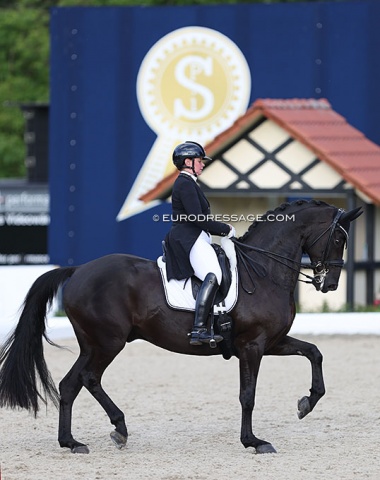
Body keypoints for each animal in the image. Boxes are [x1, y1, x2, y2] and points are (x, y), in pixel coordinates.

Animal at [0, 200, 362, 454]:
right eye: (339, 237)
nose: (330, 284)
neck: (263, 270)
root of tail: (77, 271)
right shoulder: (252, 346)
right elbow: (248, 395)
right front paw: (254, 441)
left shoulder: (272, 342)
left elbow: (314, 352)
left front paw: (306, 403)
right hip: (108, 343)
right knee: (89, 378)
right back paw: (118, 429)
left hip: (92, 344)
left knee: (69, 384)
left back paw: (72, 442)